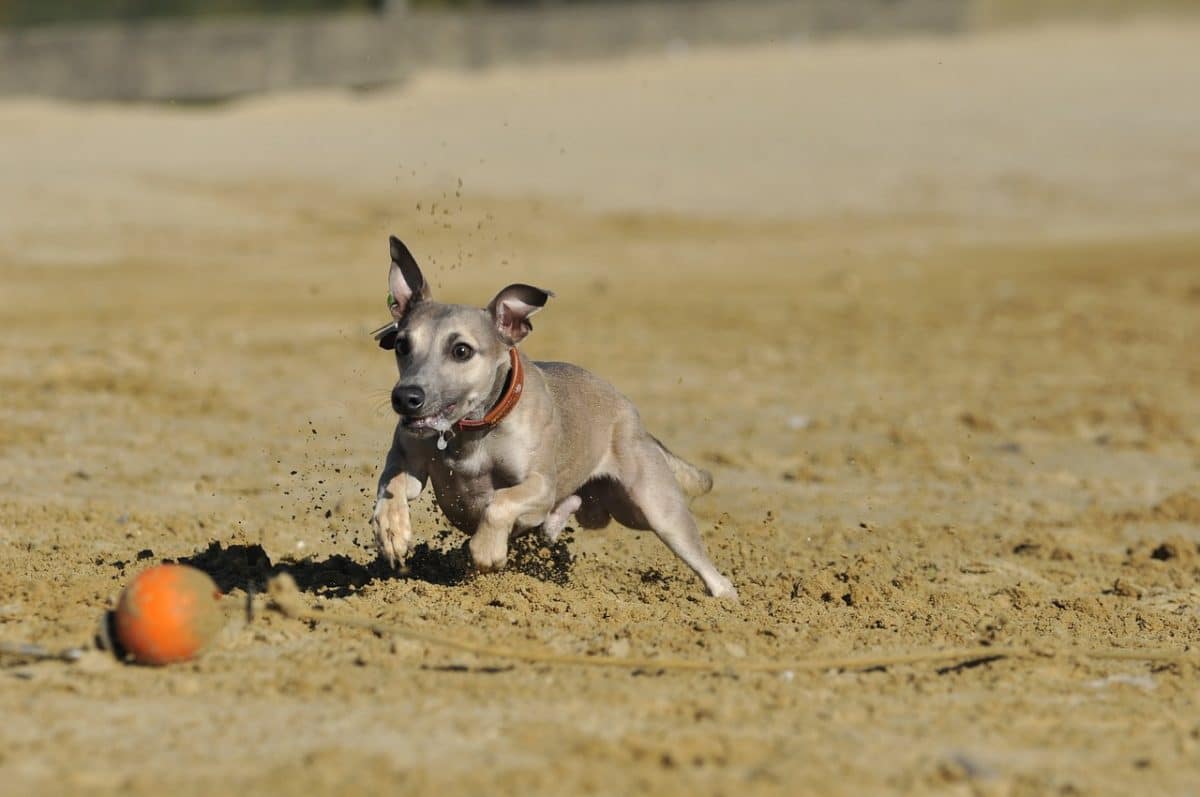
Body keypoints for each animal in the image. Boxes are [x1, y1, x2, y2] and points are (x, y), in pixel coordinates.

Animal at [369, 236, 734, 597]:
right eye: (402, 345)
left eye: (461, 350)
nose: (406, 397)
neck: (471, 430)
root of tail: (634, 418)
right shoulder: (411, 461)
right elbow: (393, 483)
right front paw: (392, 531)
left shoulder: (541, 486)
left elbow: (500, 502)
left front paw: (487, 550)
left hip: (655, 510)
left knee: (712, 572)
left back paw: (725, 601)